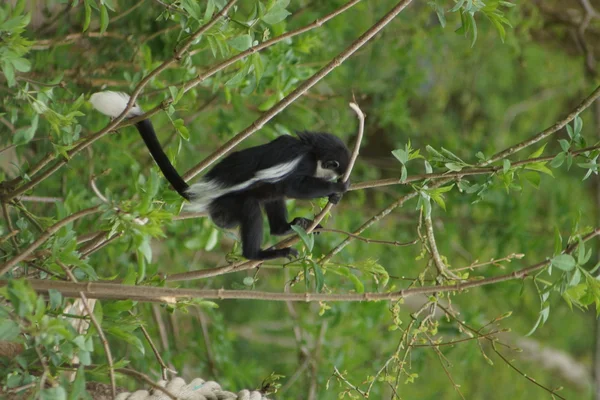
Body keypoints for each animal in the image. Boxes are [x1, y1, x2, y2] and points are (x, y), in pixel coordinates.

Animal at [91, 91, 350, 260]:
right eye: (337, 168)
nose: (337, 179)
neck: (312, 150)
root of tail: (203, 192)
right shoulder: (303, 163)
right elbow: (294, 186)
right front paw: (337, 189)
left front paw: (332, 196)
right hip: (228, 206)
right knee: (253, 205)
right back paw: (258, 255)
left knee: (272, 197)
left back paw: (286, 228)